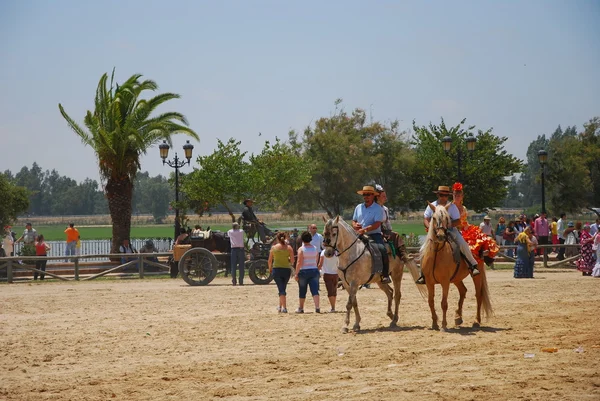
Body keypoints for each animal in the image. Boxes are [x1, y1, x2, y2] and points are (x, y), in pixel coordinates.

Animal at [420, 202, 494, 330]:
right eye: (433, 218)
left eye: (447, 218)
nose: (440, 236)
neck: (437, 254)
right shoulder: (429, 282)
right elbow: (431, 301)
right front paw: (434, 323)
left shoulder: (445, 282)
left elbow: (444, 303)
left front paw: (444, 325)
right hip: (456, 278)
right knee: (463, 291)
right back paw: (458, 318)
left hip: (476, 276)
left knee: (478, 295)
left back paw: (476, 321)